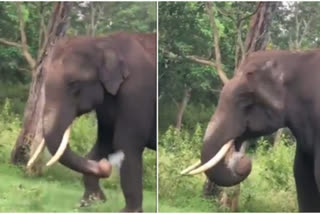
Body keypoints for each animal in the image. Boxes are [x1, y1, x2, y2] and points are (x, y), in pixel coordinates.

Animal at [28, 32, 156, 212]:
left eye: (73, 84)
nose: (106, 167)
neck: (103, 42)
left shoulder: (137, 92)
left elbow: (126, 144)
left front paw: (129, 211)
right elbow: (104, 143)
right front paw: (89, 202)